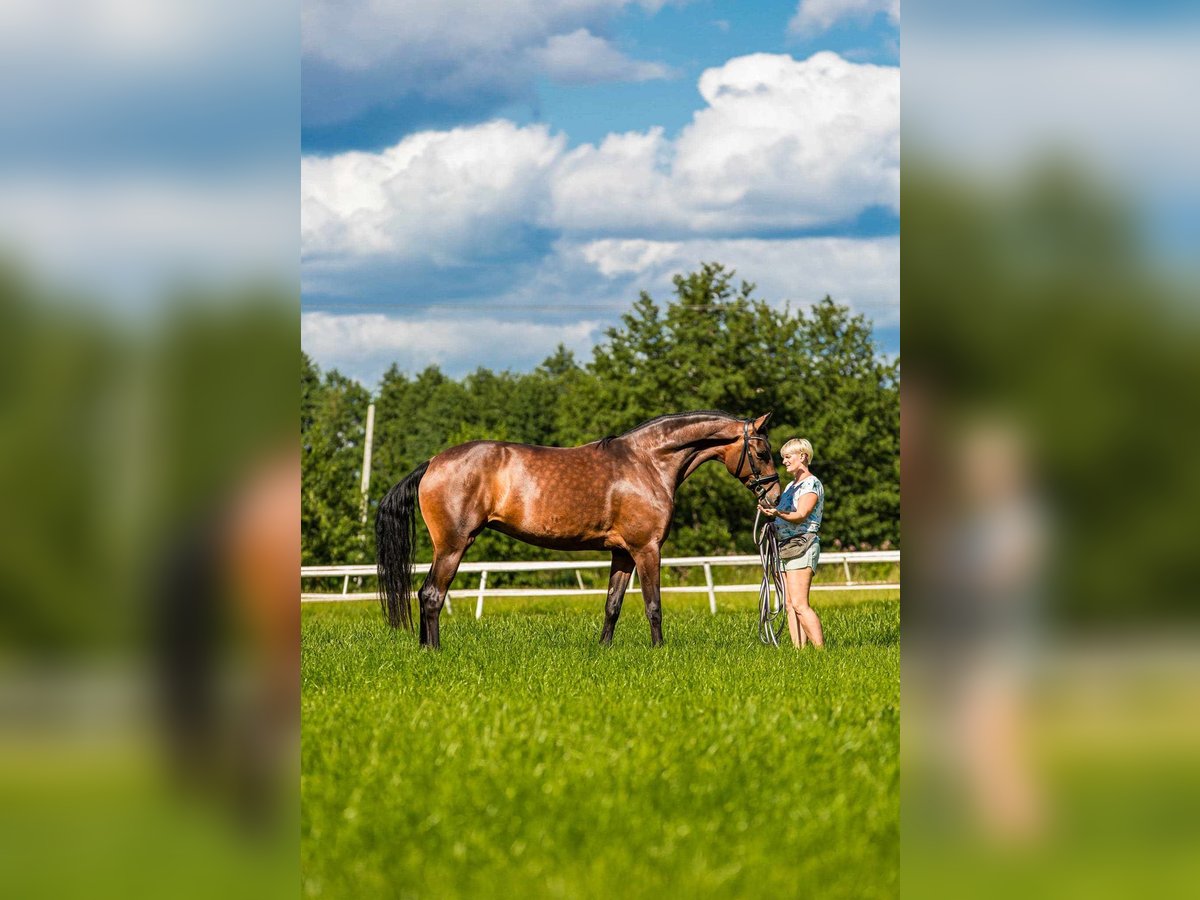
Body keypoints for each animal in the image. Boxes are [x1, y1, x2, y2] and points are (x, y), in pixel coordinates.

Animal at [379, 412, 782, 652]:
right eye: (762, 452)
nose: (775, 496)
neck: (648, 463)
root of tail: (433, 462)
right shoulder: (647, 549)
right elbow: (653, 605)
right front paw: (659, 650)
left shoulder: (622, 553)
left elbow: (612, 605)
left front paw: (604, 649)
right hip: (453, 545)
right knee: (433, 594)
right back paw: (434, 650)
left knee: (423, 593)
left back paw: (424, 649)